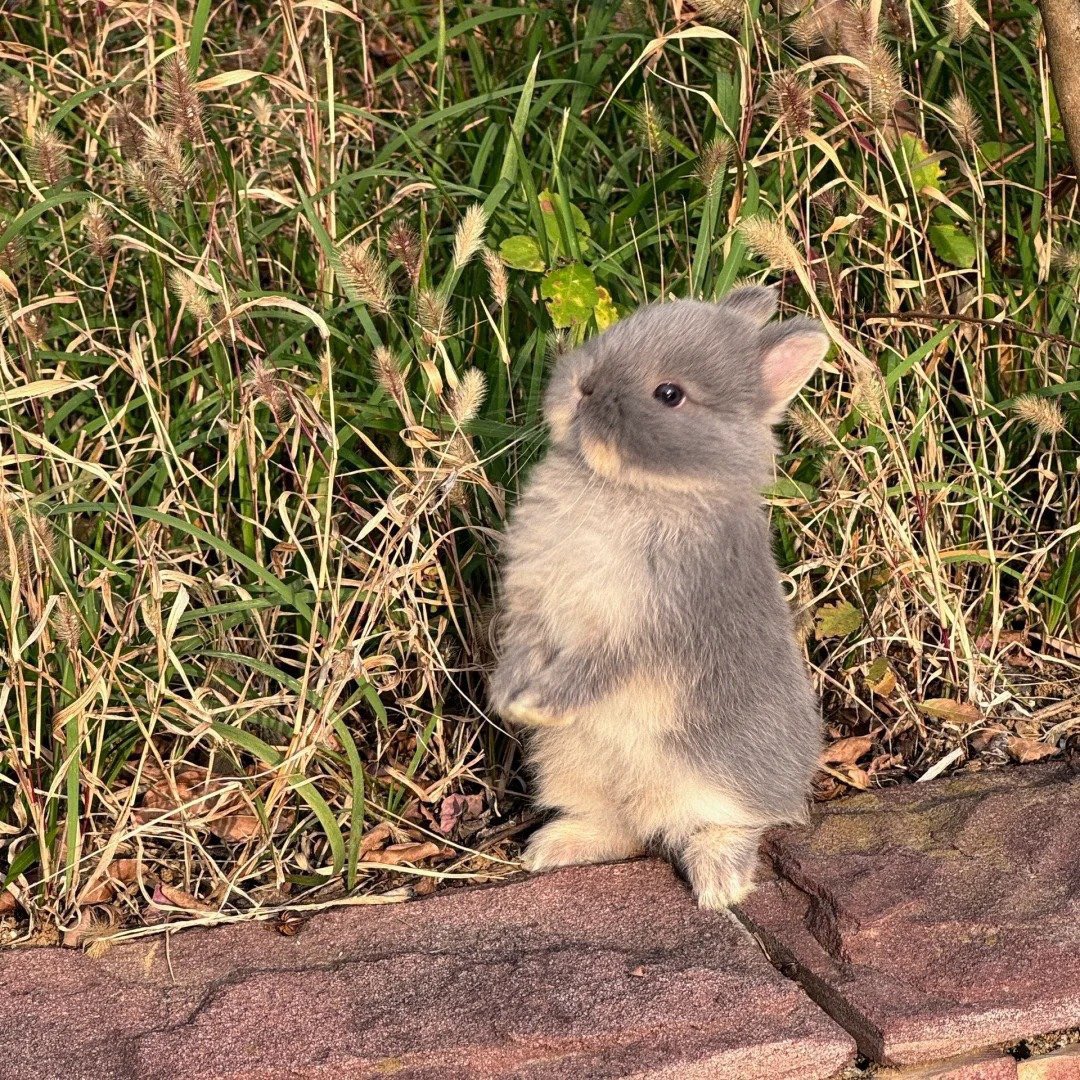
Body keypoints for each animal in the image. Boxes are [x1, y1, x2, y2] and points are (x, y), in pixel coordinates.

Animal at [489, 286, 830, 909]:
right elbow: (523, 651)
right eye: (616, 330)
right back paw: (551, 850)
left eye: (669, 394)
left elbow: (591, 672)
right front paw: (506, 697)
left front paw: (534, 706)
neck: (633, 487)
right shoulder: (534, 610)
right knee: (624, 830)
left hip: (713, 776)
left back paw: (719, 886)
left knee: (731, 827)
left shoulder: (640, 631)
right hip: (572, 768)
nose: (583, 386)